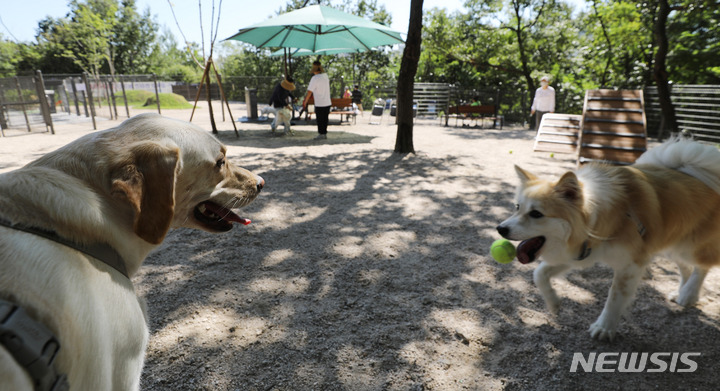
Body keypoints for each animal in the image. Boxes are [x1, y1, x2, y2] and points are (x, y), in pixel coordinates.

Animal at [498, 139, 720, 342]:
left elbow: (615, 297)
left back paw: (689, 294)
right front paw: (553, 303)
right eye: (517, 207)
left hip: (689, 246)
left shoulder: (630, 264)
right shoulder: (580, 252)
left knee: (702, 267)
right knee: (686, 267)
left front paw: (604, 327)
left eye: (536, 214)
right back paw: (680, 292)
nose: (500, 229)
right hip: (671, 246)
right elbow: (539, 273)